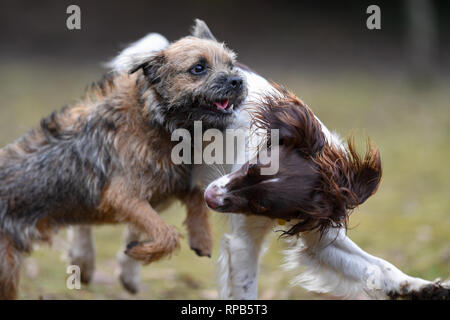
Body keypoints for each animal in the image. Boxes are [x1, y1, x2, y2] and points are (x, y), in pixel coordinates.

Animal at [0, 20, 246, 300]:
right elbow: (167, 234)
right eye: (198, 68)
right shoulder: (124, 196)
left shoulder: (176, 181)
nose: (238, 80)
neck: (157, 119)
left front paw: (201, 237)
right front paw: (140, 251)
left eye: (230, 64)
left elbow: (196, 197)